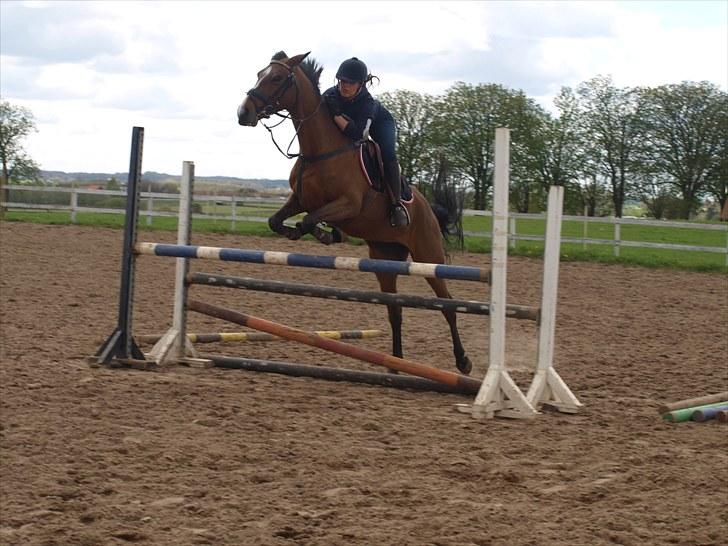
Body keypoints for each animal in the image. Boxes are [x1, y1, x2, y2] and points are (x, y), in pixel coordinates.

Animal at [233, 52, 472, 374]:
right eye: (260, 73)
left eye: (277, 78)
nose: (243, 112)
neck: (320, 150)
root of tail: (429, 209)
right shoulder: (299, 199)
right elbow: (276, 220)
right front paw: (306, 232)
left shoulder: (348, 204)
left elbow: (311, 219)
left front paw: (327, 234)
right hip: (385, 259)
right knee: (395, 310)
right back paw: (395, 364)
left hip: (428, 255)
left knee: (447, 305)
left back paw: (463, 361)